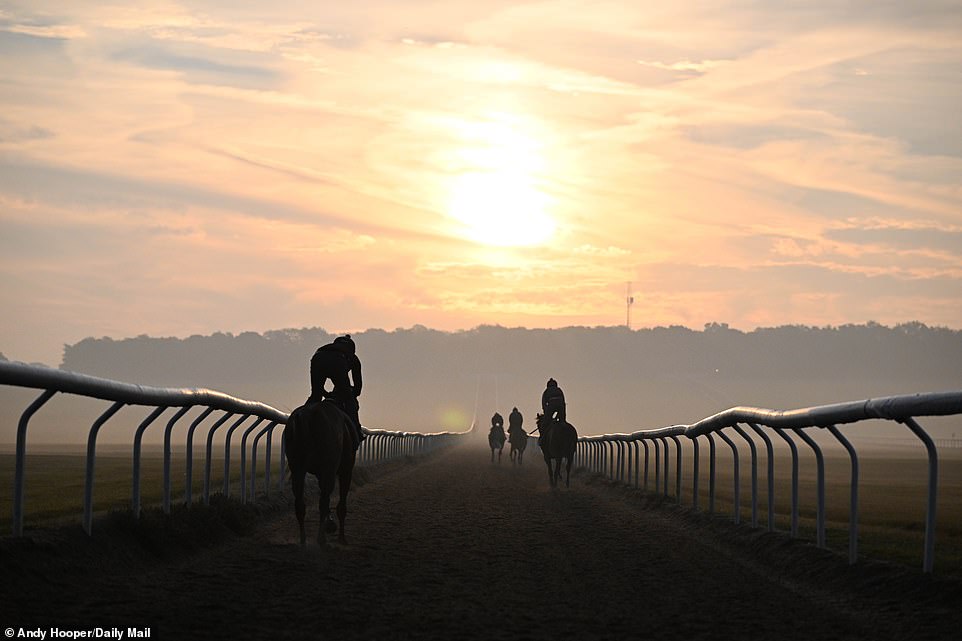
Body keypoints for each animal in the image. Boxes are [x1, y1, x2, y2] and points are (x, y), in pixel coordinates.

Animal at [286, 400, 358, 544]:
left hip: (297, 468)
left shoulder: (320, 473)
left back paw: (303, 540)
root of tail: (305, 417)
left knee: (299, 502)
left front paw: (330, 524)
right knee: (323, 502)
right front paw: (341, 537)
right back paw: (321, 539)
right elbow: (340, 504)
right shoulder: (345, 470)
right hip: (329, 468)